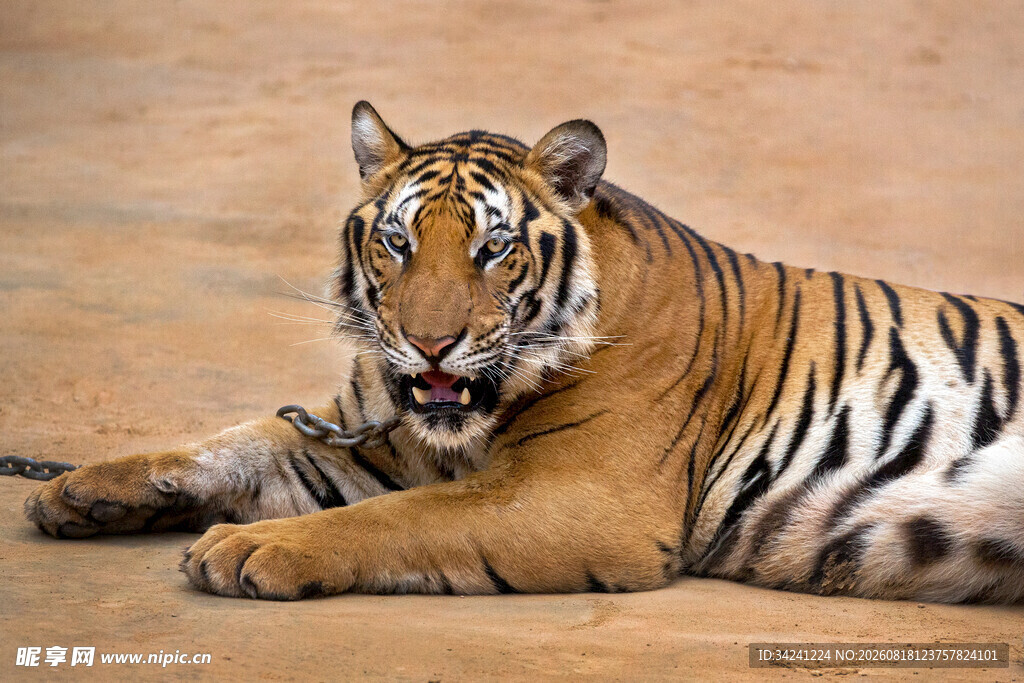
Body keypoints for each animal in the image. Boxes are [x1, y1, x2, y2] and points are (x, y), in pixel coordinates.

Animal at [25, 101, 1024, 603]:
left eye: (492, 247)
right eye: (397, 242)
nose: (430, 342)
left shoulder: (580, 497)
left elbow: (391, 520)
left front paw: (249, 546)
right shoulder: (362, 434)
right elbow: (231, 445)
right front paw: (78, 489)